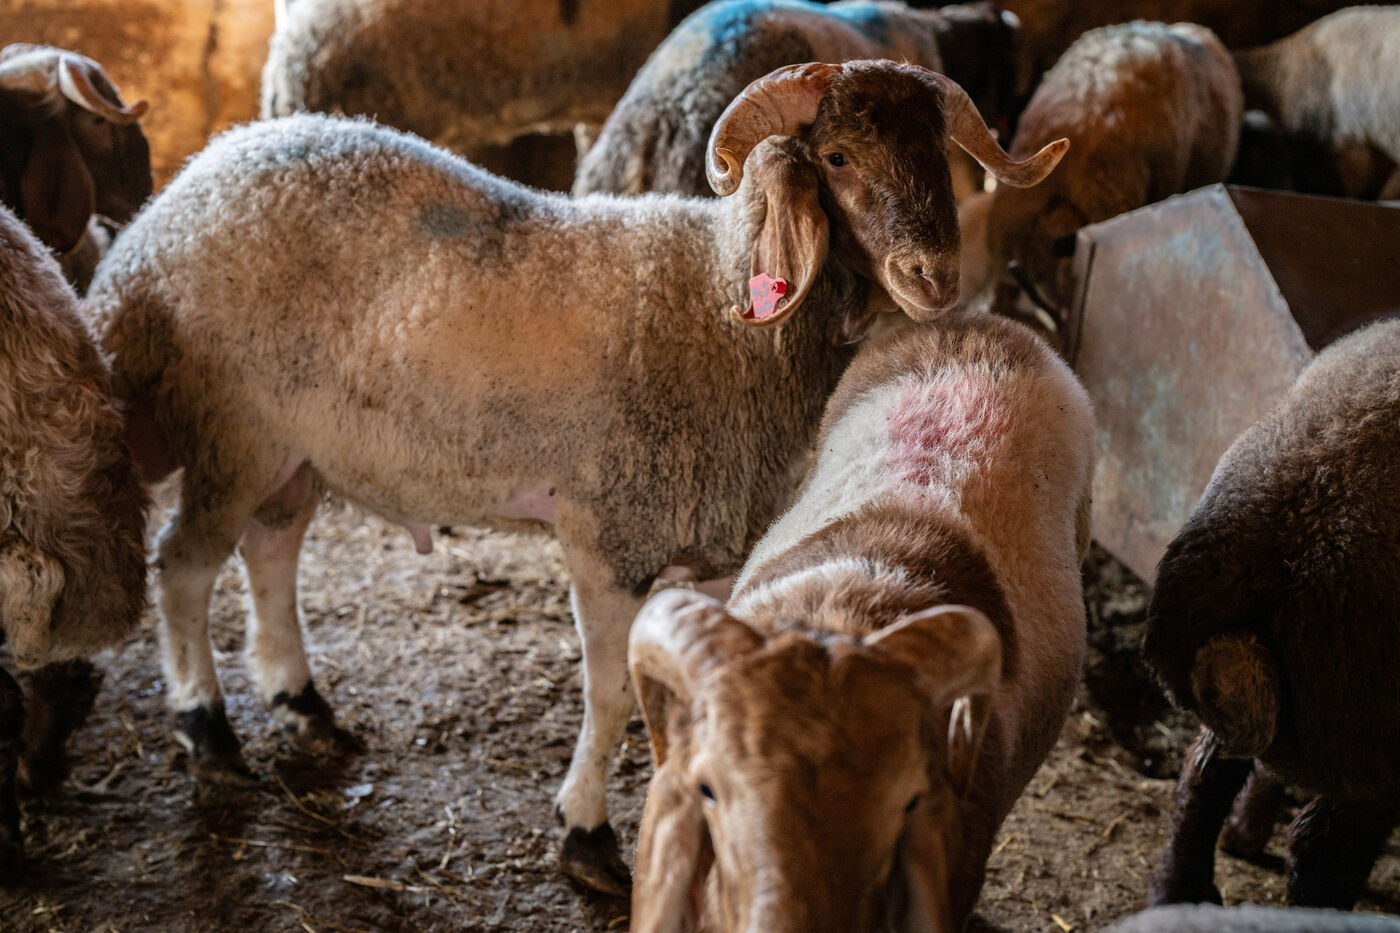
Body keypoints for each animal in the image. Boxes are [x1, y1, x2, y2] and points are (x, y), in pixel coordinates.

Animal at [85, 60, 1068, 893]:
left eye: (939, 154)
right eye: (836, 156)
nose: (935, 279)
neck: (725, 295)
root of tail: (178, 195)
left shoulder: (715, 551)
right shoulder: (609, 538)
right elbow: (609, 696)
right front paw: (587, 836)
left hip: (297, 446)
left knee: (272, 548)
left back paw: (301, 699)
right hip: (231, 427)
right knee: (184, 568)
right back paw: (209, 731)